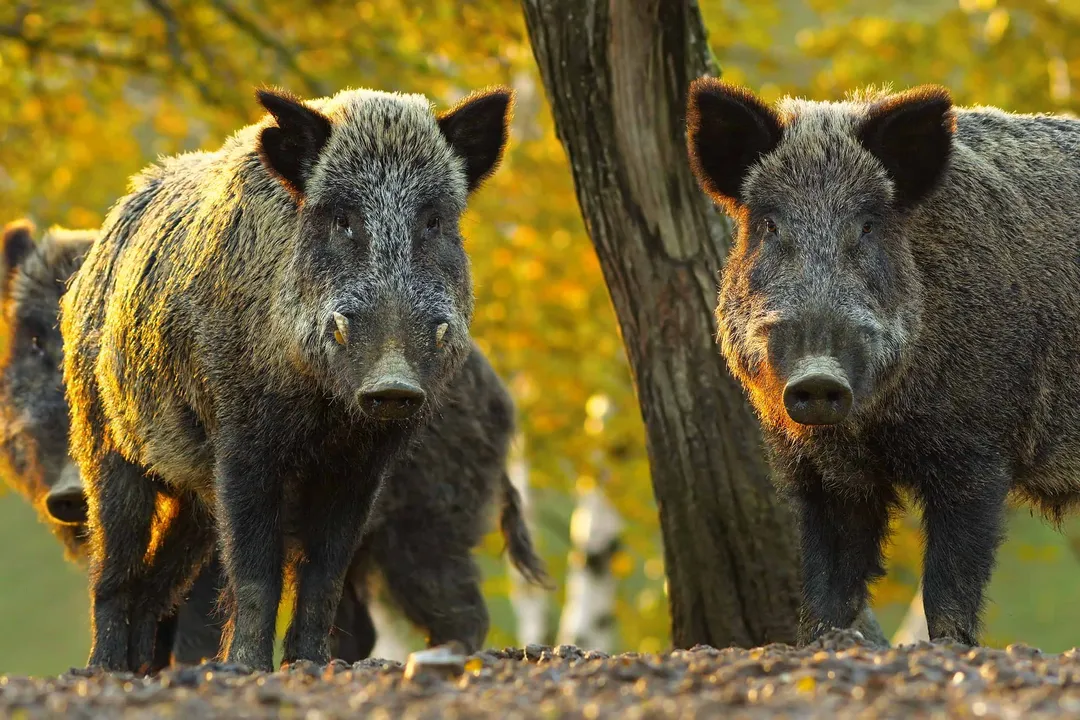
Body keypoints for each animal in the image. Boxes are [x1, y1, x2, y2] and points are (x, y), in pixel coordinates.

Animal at [60, 84, 517, 673]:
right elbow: (256, 568)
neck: (323, 411)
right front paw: (246, 667)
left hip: (193, 490)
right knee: (115, 564)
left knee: (159, 581)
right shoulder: (242, 440)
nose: (393, 383)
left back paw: (141, 670)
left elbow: (324, 572)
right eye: (342, 219)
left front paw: (313, 664)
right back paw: (104, 668)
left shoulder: (363, 464)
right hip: (103, 437)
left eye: (434, 221)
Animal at [685, 78, 1080, 646]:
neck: (872, 426)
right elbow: (828, 586)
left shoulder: (977, 451)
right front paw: (821, 644)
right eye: (769, 224)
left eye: (868, 226)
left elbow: (948, 586)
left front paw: (951, 648)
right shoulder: (821, 472)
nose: (818, 378)